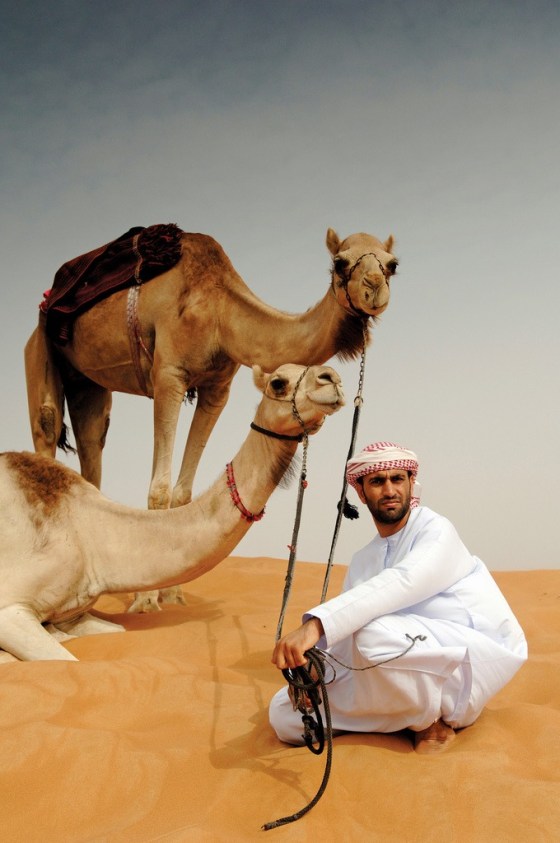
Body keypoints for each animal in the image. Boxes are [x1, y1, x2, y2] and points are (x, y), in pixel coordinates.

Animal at [0, 363, 344, 662]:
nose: (332, 378)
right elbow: (63, 657)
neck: (90, 531)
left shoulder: (77, 607)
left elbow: (113, 630)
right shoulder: (9, 610)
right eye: (278, 382)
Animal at [24, 227, 396, 610]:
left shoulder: (218, 388)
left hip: (88, 380)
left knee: (93, 436)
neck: (219, 313)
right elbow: (159, 490)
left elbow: (183, 493)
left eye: (392, 264)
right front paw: (146, 602)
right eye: (340, 262)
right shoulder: (168, 375)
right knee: (46, 424)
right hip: (41, 343)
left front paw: (173, 595)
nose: (374, 288)